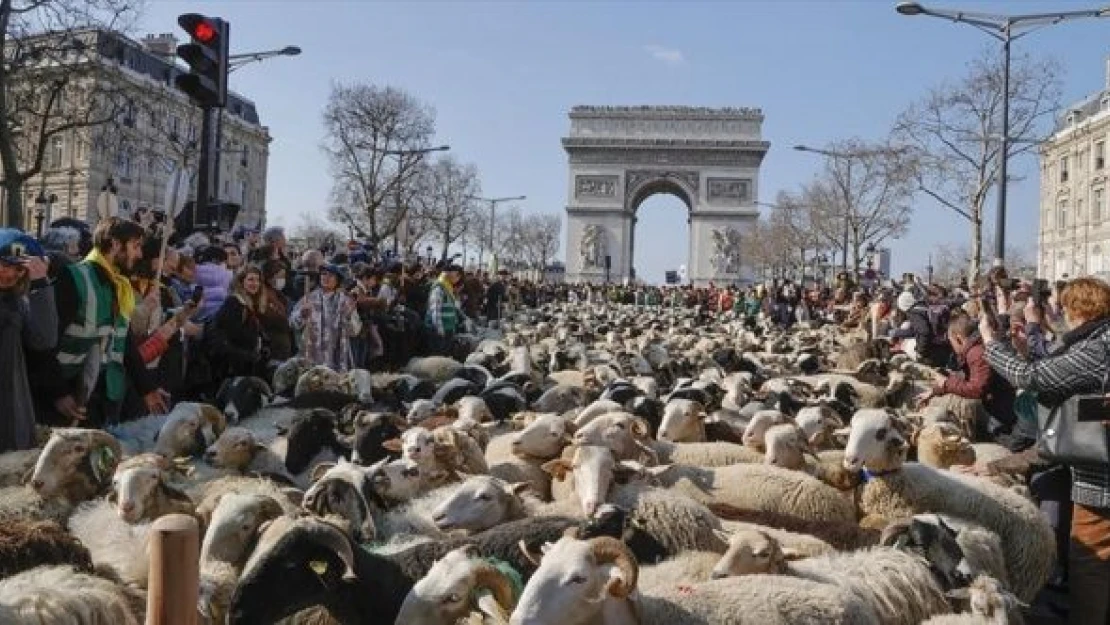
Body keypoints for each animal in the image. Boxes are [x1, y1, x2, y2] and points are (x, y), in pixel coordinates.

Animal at [843, 408, 1052, 603]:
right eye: (852, 427)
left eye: (881, 432)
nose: (850, 460)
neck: (897, 480)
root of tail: (1042, 522)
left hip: (1021, 580)